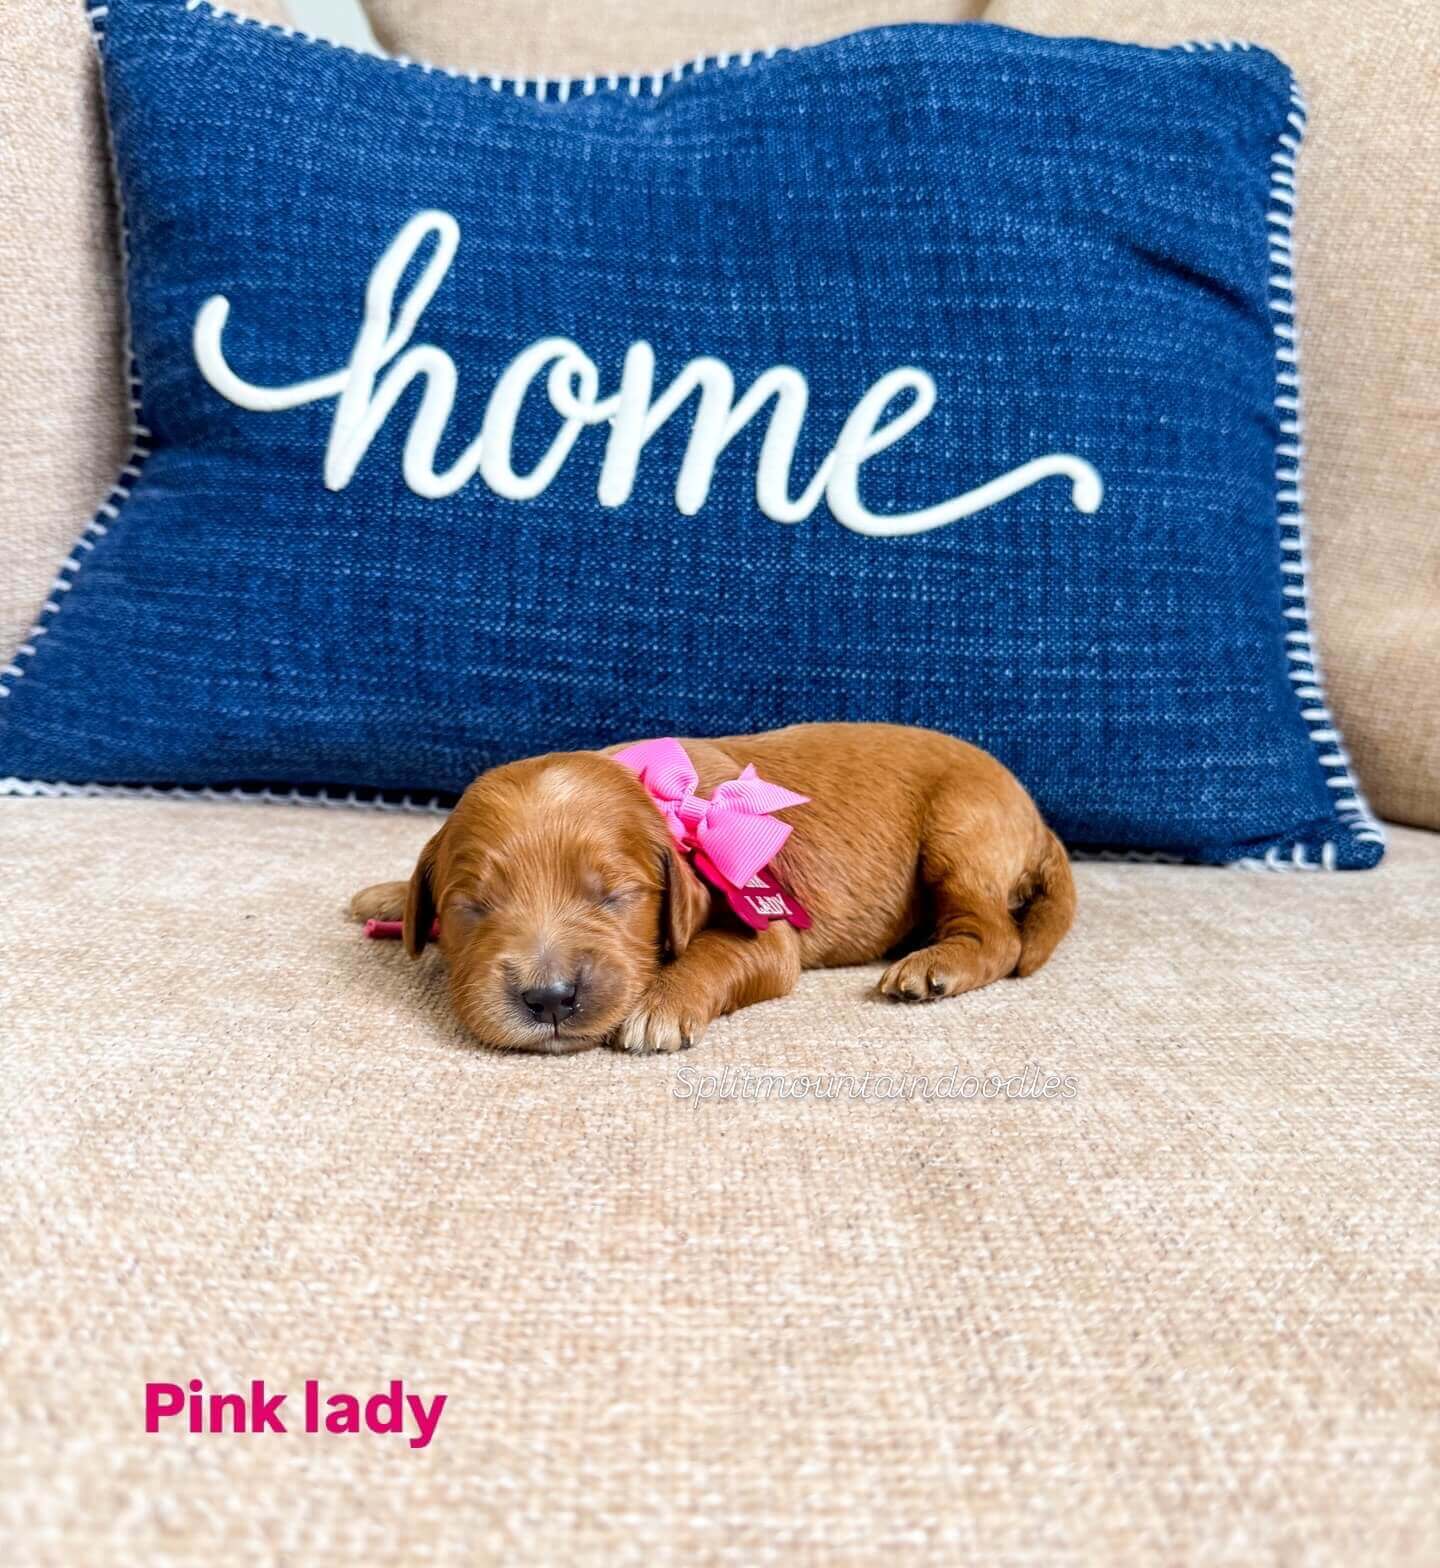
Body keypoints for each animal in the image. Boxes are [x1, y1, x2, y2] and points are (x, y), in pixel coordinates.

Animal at [350, 722, 1074, 1054]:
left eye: (616, 897)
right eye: (471, 906)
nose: (549, 998)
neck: (668, 799)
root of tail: (1037, 818)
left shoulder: (769, 930)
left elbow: (718, 953)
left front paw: (660, 1005)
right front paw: (389, 895)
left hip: (958, 832)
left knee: (999, 937)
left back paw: (932, 965)